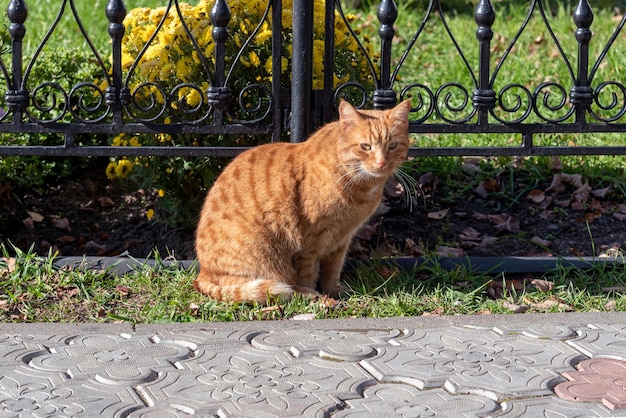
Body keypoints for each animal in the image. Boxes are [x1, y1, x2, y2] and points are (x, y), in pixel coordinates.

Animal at [193, 99, 412, 302]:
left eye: (392, 146)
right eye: (365, 146)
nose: (381, 163)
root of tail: (202, 273)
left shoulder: (341, 240)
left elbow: (332, 271)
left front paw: (334, 290)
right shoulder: (310, 242)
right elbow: (307, 274)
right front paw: (319, 296)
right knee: (282, 286)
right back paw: (307, 295)